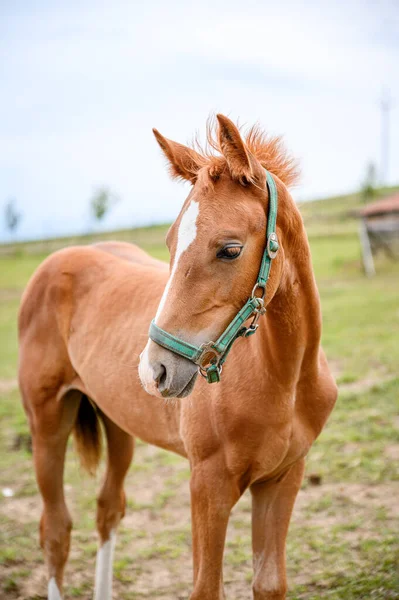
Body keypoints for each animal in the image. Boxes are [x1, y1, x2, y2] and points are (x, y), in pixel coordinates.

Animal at [18, 113, 338, 600]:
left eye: (230, 249)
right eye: (170, 244)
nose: (156, 370)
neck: (284, 378)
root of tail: (59, 260)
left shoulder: (283, 477)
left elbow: (269, 584)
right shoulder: (208, 484)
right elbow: (206, 587)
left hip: (119, 423)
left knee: (107, 510)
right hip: (47, 422)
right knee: (55, 530)